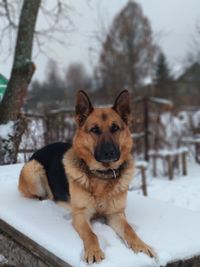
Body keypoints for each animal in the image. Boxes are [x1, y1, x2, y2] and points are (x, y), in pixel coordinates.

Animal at [18, 90, 155, 264]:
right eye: (94, 130)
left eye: (115, 128)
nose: (109, 152)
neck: (102, 176)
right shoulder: (81, 215)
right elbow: (91, 234)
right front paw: (93, 251)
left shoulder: (116, 214)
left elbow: (129, 229)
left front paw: (141, 246)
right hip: (33, 169)